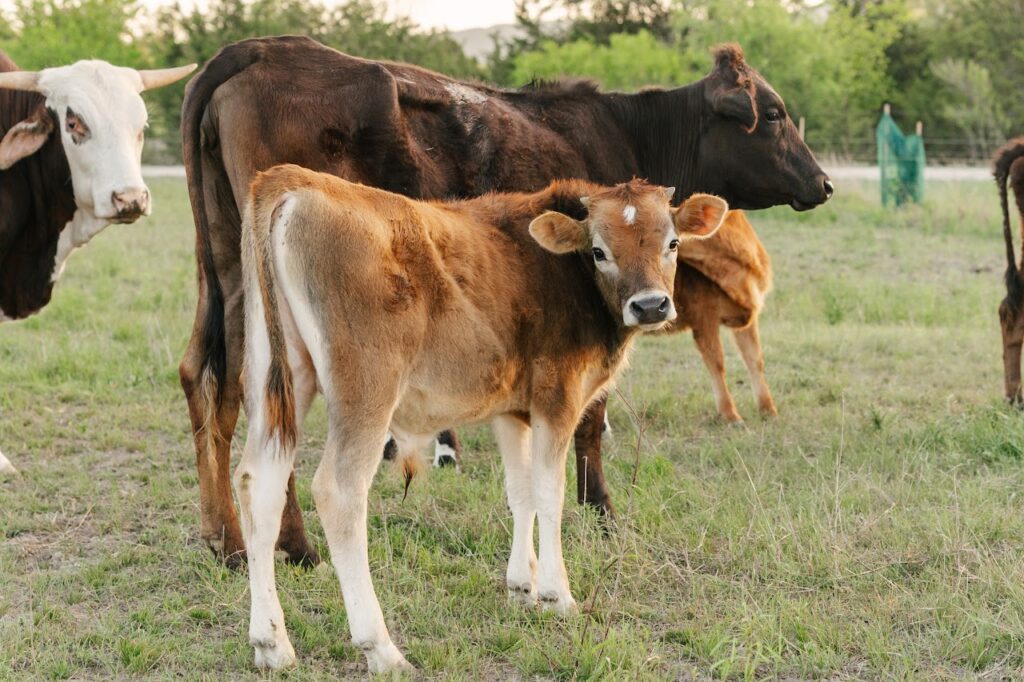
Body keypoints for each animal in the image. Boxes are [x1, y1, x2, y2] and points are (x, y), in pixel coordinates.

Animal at [179, 35, 832, 565]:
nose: (823, 182)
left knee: (211, 378)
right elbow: (590, 418)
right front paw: (600, 511)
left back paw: (228, 540)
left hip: (232, 267)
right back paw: (293, 546)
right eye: (774, 114)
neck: (628, 132)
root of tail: (259, 48)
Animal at [235, 165, 728, 672]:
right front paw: (557, 595)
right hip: (366, 390)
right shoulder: (557, 398)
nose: (650, 305)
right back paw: (381, 648)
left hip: (280, 379)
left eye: (672, 242)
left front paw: (522, 587)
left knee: (259, 484)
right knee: (340, 492)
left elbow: (521, 491)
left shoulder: (512, 411)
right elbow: (550, 494)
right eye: (598, 250)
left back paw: (272, 644)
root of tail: (297, 180)